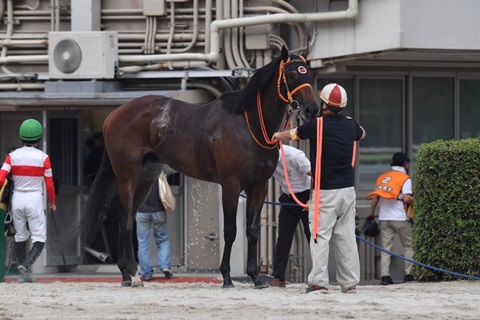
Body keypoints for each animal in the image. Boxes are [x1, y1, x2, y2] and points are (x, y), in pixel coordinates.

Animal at [81, 46, 318, 288]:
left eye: (308, 72)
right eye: (291, 74)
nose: (312, 109)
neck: (248, 125)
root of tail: (113, 116)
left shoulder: (259, 186)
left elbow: (252, 231)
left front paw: (255, 277)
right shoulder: (231, 185)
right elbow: (230, 230)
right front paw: (226, 276)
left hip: (145, 179)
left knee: (124, 218)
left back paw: (127, 274)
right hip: (127, 175)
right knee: (127, 220)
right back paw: (133, 274)